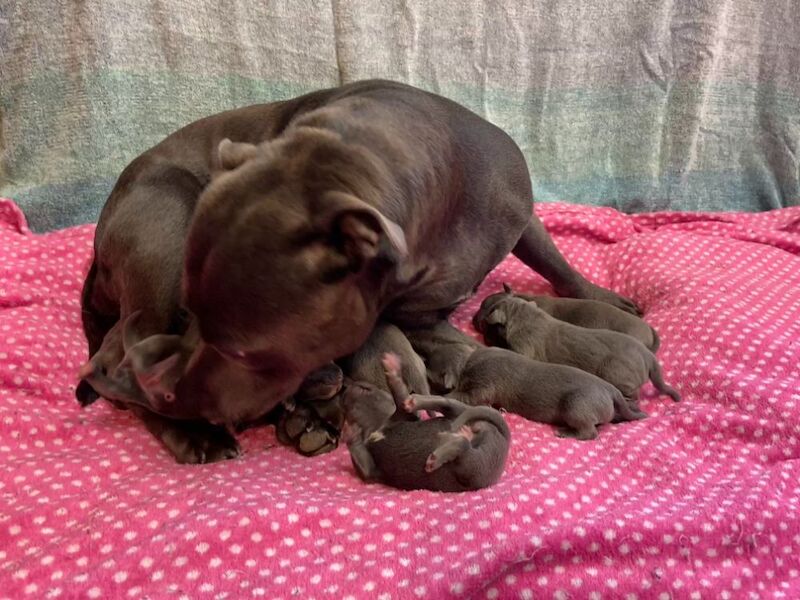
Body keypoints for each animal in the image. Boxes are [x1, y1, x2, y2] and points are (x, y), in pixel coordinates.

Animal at [340, 354, 510, 490]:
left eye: (365, 388)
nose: (344, 389)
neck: (376, 426)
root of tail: (504, 438)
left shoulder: (404, 416)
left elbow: (400, 396)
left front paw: (392, 372)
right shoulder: (372, 468)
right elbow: (366, 467)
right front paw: (350, 432)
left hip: (478, 468)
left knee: (464, 446)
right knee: (446, 406)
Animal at [406, 324, 644, 440]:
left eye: (430, 374)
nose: (421, 360)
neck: (468, 360)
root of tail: (612, 391)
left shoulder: (482, 384)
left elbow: (466, 396)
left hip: (577, 405)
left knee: (590, 432)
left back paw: (567, 433)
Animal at [476, 294, 680, 404]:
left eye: (488, 326)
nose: (474, 321)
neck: (526, 315)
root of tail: (649, 358)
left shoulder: (523, 346)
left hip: (616, 374)